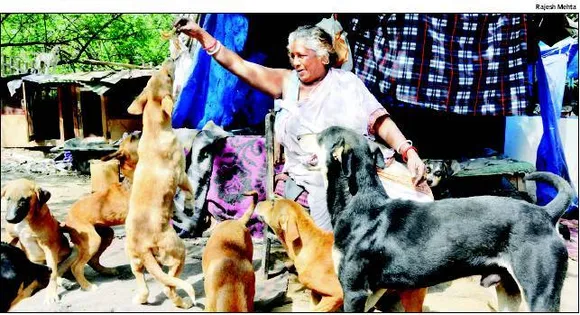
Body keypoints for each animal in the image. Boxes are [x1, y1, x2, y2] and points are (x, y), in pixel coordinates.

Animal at [59, 131, 141, 292]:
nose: (140, 131)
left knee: (92, 260)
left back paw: (107, 271)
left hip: (104, 235)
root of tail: (67, 221)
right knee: (76, 266)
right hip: (92, 239)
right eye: (132, 139)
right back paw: (87, 286)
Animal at [124, 58, 197, 310]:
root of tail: (144, 247)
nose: (170, 59)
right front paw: (191, 206)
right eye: (168, 76)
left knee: (144, 283)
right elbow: (190, 191)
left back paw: (141, 298)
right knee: (168, 285)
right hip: (177, 251)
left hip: (135, 261)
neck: (155, 130)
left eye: (154, 76)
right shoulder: (181, 174)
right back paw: (183, 303)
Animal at [300, 126, 576, 314]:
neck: (360, 203)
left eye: (321, 135)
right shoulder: (371, 292)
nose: (299, 136)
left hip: (540, 293)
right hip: (509, 290)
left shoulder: (354, 290)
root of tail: (546, 213)